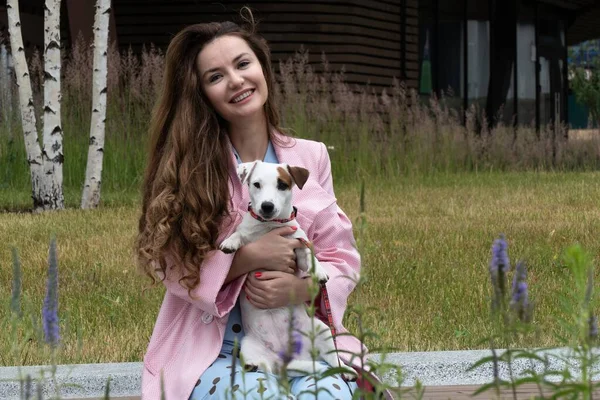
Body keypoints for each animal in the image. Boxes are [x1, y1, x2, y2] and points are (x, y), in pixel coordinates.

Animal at [220, 160, 354, 378]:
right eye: (256, 184)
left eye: (282, 185)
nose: (267, 206)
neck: (269, 227)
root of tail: (286, 357)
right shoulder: (248, 240)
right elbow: (239, 235)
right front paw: (230, 242)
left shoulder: (298, 247)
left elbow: (309, 255)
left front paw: (320, 272)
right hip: (248, 346)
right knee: (264, 367)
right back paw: (253, 366)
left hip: (323, 331)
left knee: (334, 358)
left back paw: (347, 370)